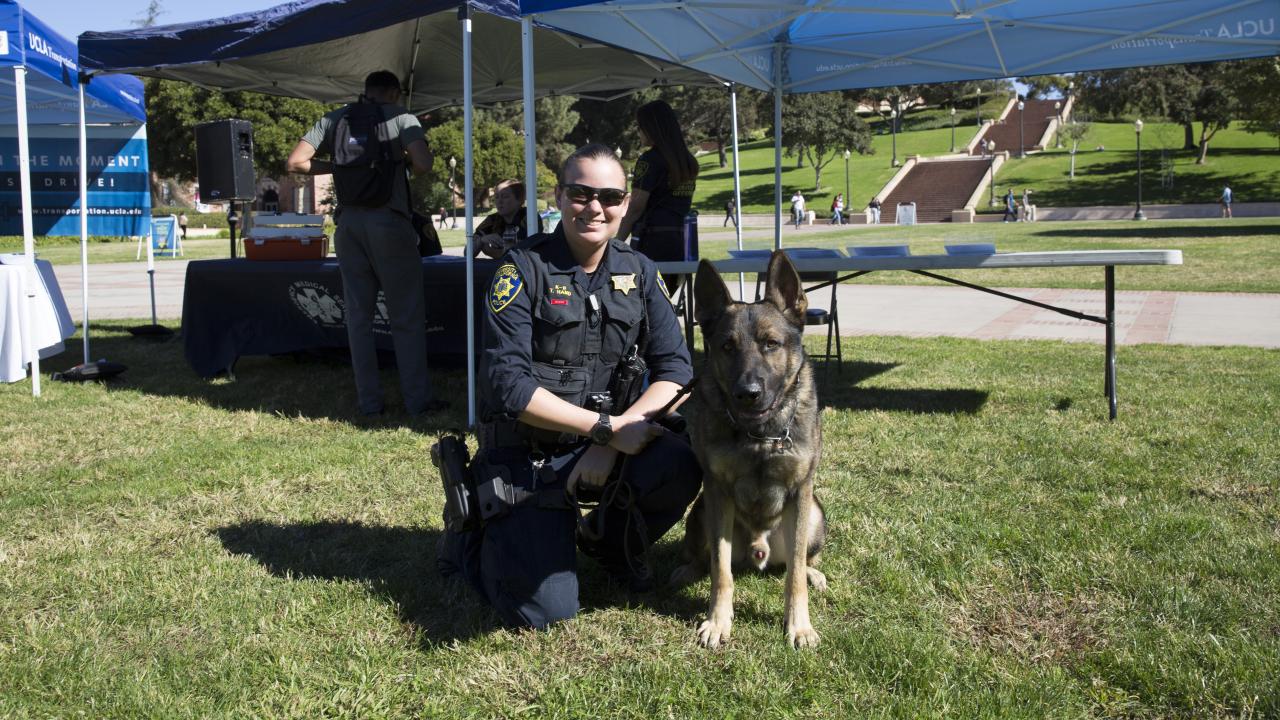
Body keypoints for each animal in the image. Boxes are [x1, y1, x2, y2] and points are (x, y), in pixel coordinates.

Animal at [670, 249, 829, 648]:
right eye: (727, 347)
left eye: (771, 344)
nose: (747, 393)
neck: (760, 436)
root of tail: (759, 551)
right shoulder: (717, 492)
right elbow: (720, 570)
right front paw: (718, 621)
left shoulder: (801, 492)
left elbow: (794, 576)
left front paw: (799, 625)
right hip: (700, 513)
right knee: (706, 557)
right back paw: (686, 569)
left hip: (816, 515)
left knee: (800, 561)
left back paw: (814, 574)